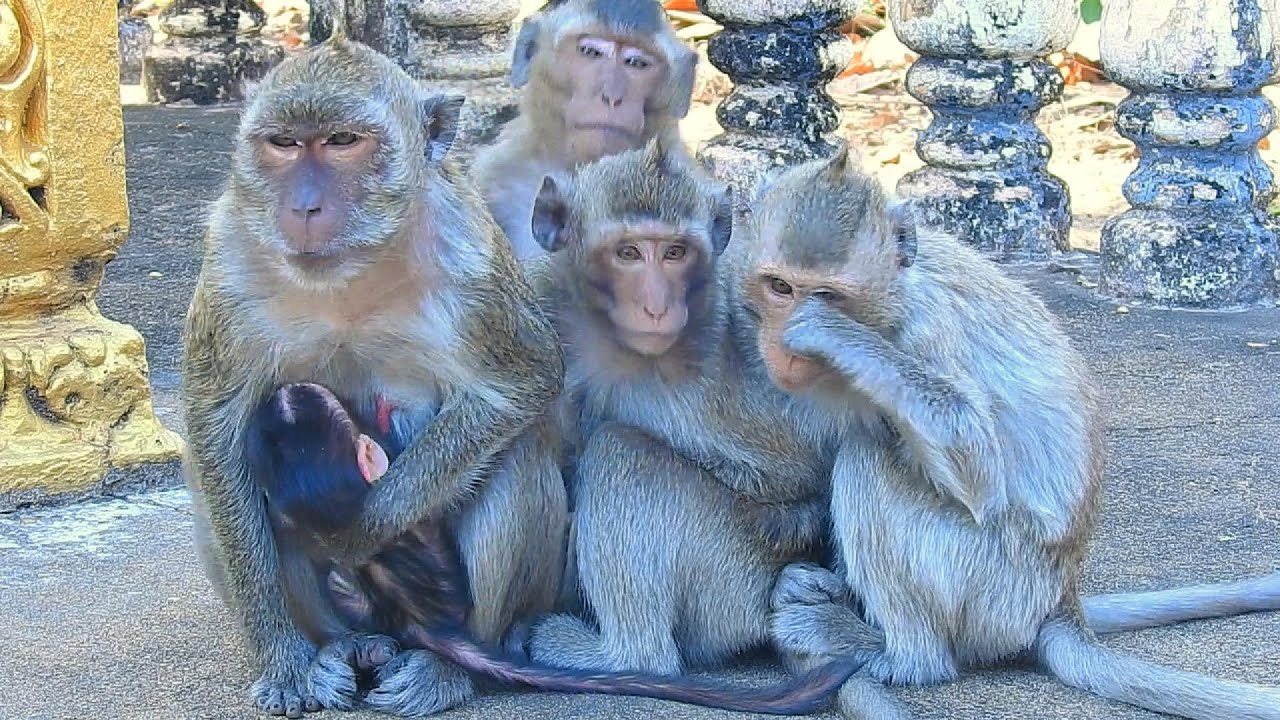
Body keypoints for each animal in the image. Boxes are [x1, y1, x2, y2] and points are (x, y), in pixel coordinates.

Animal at [180, 35, 569, 719]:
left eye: (342, 142)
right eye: (284, 144)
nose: (304, 205)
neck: (349, 274)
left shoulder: (469, 256)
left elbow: (522, 384)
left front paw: (361, 531)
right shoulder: (228, 256)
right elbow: (214, 423)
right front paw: (282, 661)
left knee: (516, 459)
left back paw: (454, 666)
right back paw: (340, 647)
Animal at [734, 145, 1280, 720]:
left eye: (827, 296)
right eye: (780, 287)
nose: (785, 347)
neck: (894, 297)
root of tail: (1062, 600)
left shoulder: (929, 331)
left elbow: (975, 460)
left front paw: (827, 332)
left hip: (995, 589)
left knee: (871, 460)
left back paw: (897, 653)